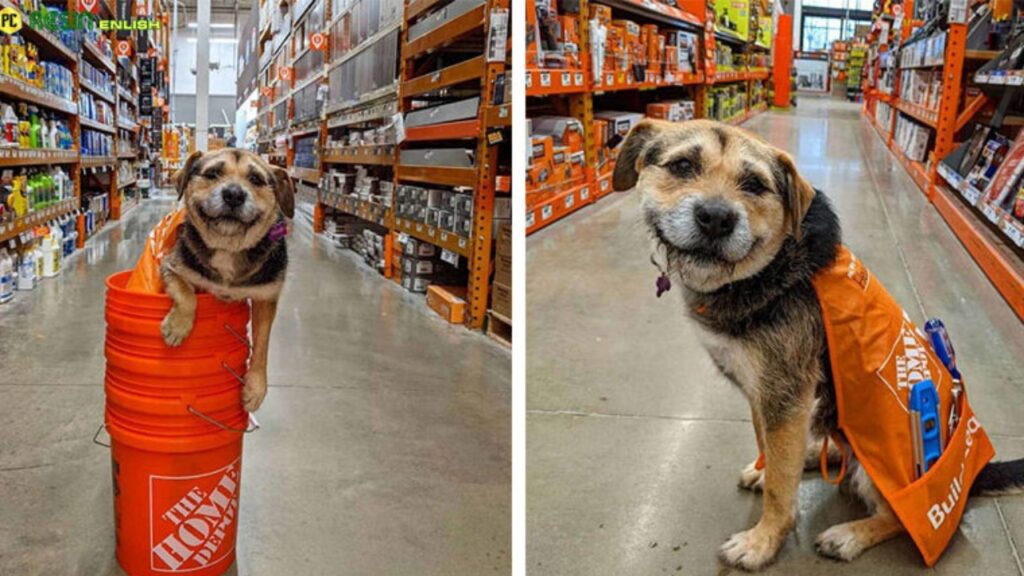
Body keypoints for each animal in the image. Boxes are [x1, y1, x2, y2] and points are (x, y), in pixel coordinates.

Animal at [159, 145, 294, 409]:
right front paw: (177, 327)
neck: (228, 246)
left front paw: (255, 388)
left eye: (256, 179)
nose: (233, 194)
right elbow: (186, 293)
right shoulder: (171, 266)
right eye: (212, 174)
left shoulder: (266, 298)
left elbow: (262, 344)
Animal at [610, 119, 1019, 569]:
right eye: (682, 165)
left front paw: (763, 541)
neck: (767, 272)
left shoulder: (785, 396)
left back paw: (849, 535)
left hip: (895, 473)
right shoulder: (766, 396)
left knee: (897, 517)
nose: (716, 218)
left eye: (755, 185)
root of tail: (973, 475)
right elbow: (770, 451)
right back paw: (812, 455)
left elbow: (780, 488)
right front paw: (768, 470)